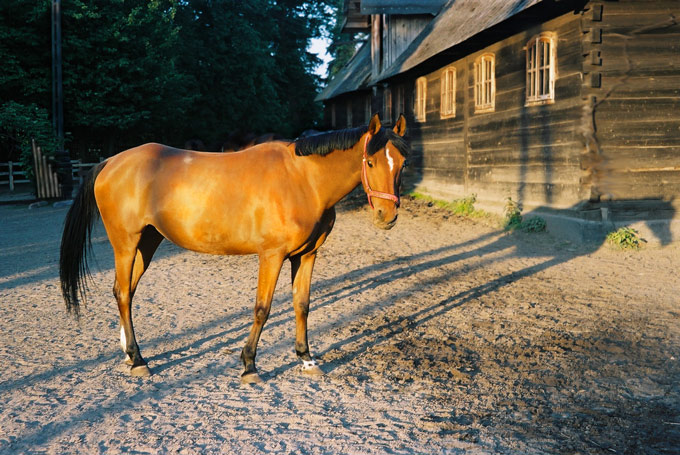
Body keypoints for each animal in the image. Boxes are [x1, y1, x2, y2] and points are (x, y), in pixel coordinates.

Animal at [59, 112, 410, 382]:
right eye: (369, 161)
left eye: (403, 163)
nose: (387, 215)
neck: (304, 180)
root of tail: (109, 162)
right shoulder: (272, 256)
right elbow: (262, 309)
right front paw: (249, 365)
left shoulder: (307, 255)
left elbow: (302, 305)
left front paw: (306, 359)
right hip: (126, 244)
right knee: (122, 293)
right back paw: (138, 359)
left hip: (148, 242)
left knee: (125, 291)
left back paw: (129, 355)